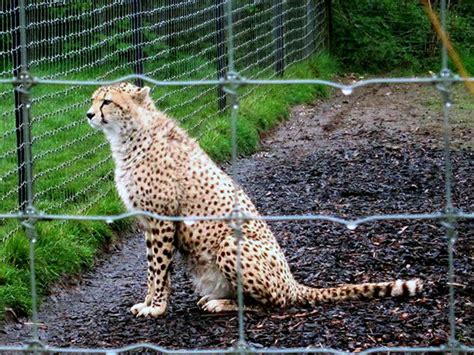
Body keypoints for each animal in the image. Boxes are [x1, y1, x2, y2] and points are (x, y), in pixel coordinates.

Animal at [87, 83, 424, 320]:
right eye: (92, 99)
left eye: (107, 101)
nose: (88, 114)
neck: (131, 135)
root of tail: (292, 281)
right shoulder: (149, 223)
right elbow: (154, 270)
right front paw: (148, 301)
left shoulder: (162, 219)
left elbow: (158, 268)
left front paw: (155, 307)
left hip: (230, 245)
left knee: (273, 304)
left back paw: (221, 303)